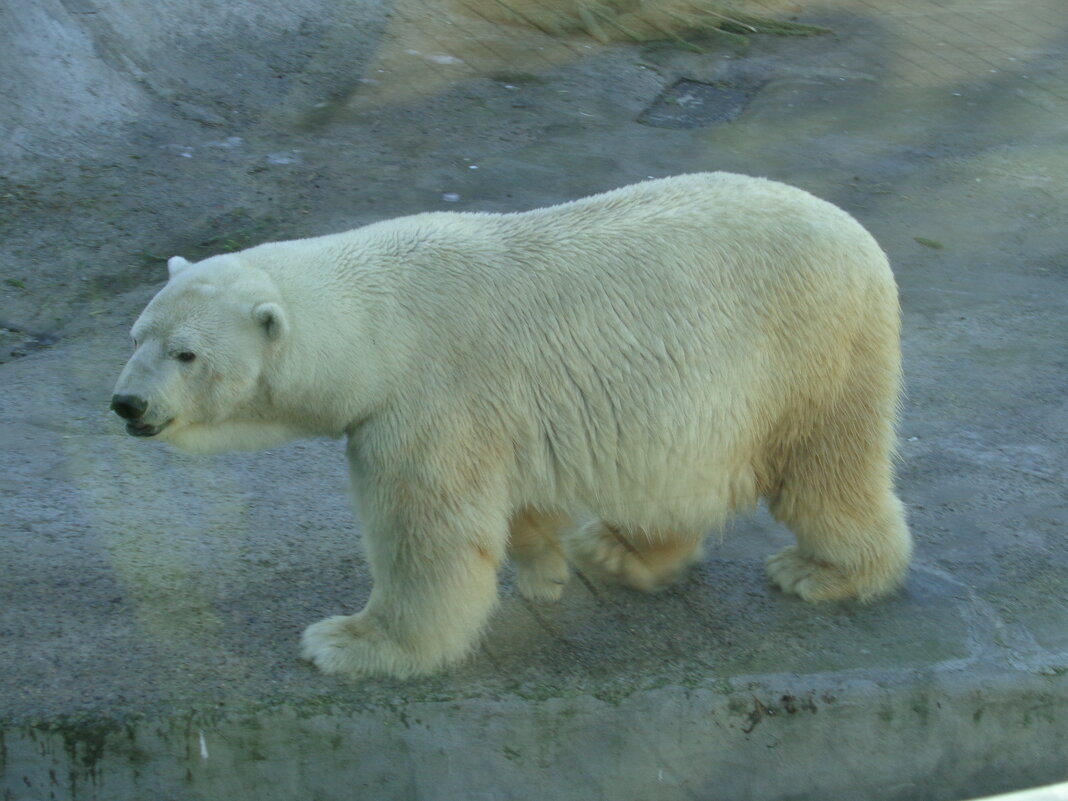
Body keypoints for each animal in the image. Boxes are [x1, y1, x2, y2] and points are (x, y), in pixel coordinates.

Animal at [110, 174, 909, 679]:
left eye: (186, 353)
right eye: (138, 335)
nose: (127, 404)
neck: (377, 321)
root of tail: (859, 235)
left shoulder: (428, 400)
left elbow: (428, 535)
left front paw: (349, 641)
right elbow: (517, 500)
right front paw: (542, 566)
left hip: (809, 350)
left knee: (827, 465)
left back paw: (824, 571)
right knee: (670, 477)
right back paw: (619, 549)